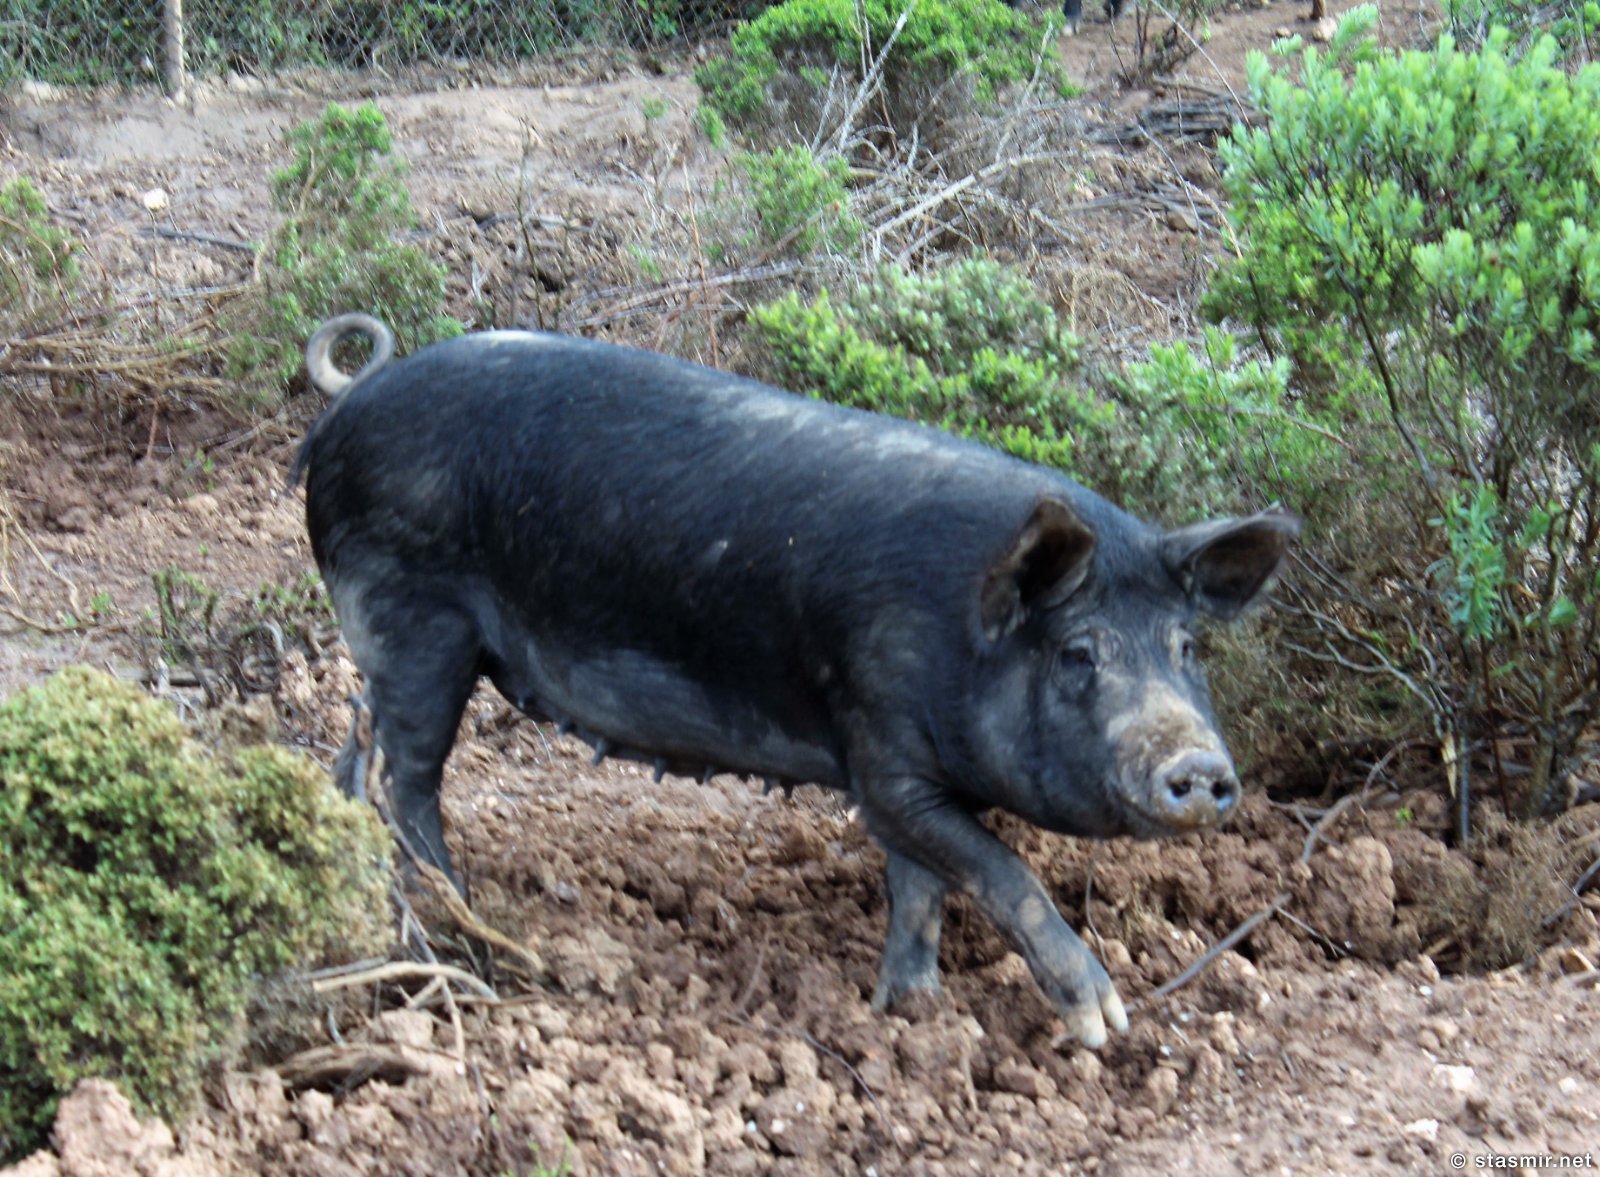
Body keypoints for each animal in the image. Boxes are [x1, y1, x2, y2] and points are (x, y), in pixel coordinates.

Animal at [292, 312, 1298, 1047]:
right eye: (1079, 653)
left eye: (1187, 648)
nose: (1200, 768)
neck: (961, 634)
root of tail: (355, 399)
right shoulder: (880, 750)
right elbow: (999, 869)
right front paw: (1105, 1022)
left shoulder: (911, 779)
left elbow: (921, 891)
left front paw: (910, 1012)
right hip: (415, 619)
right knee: (408, 778)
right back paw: (462, 915)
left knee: (355, 756)